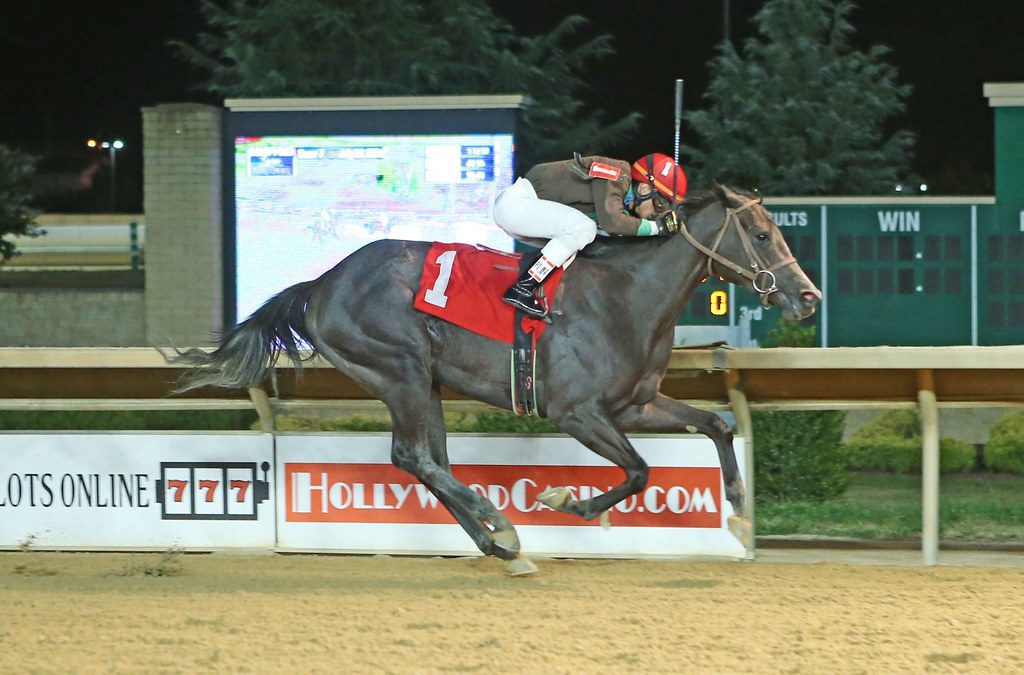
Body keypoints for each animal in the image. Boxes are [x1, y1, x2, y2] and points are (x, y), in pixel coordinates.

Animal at [170, 182, 821, 575]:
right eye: (763, 234)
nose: (808, 297)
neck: (628, 295)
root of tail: (321, 283)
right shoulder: (577, 411)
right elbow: (638, 471)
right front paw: (564, 501)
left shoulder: (634, 404)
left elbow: (715, 424)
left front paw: (738, 510)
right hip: (399, 368)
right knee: (412, 456)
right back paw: (500, 521)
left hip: (425, 382)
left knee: (430, 461)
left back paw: (499, 544)